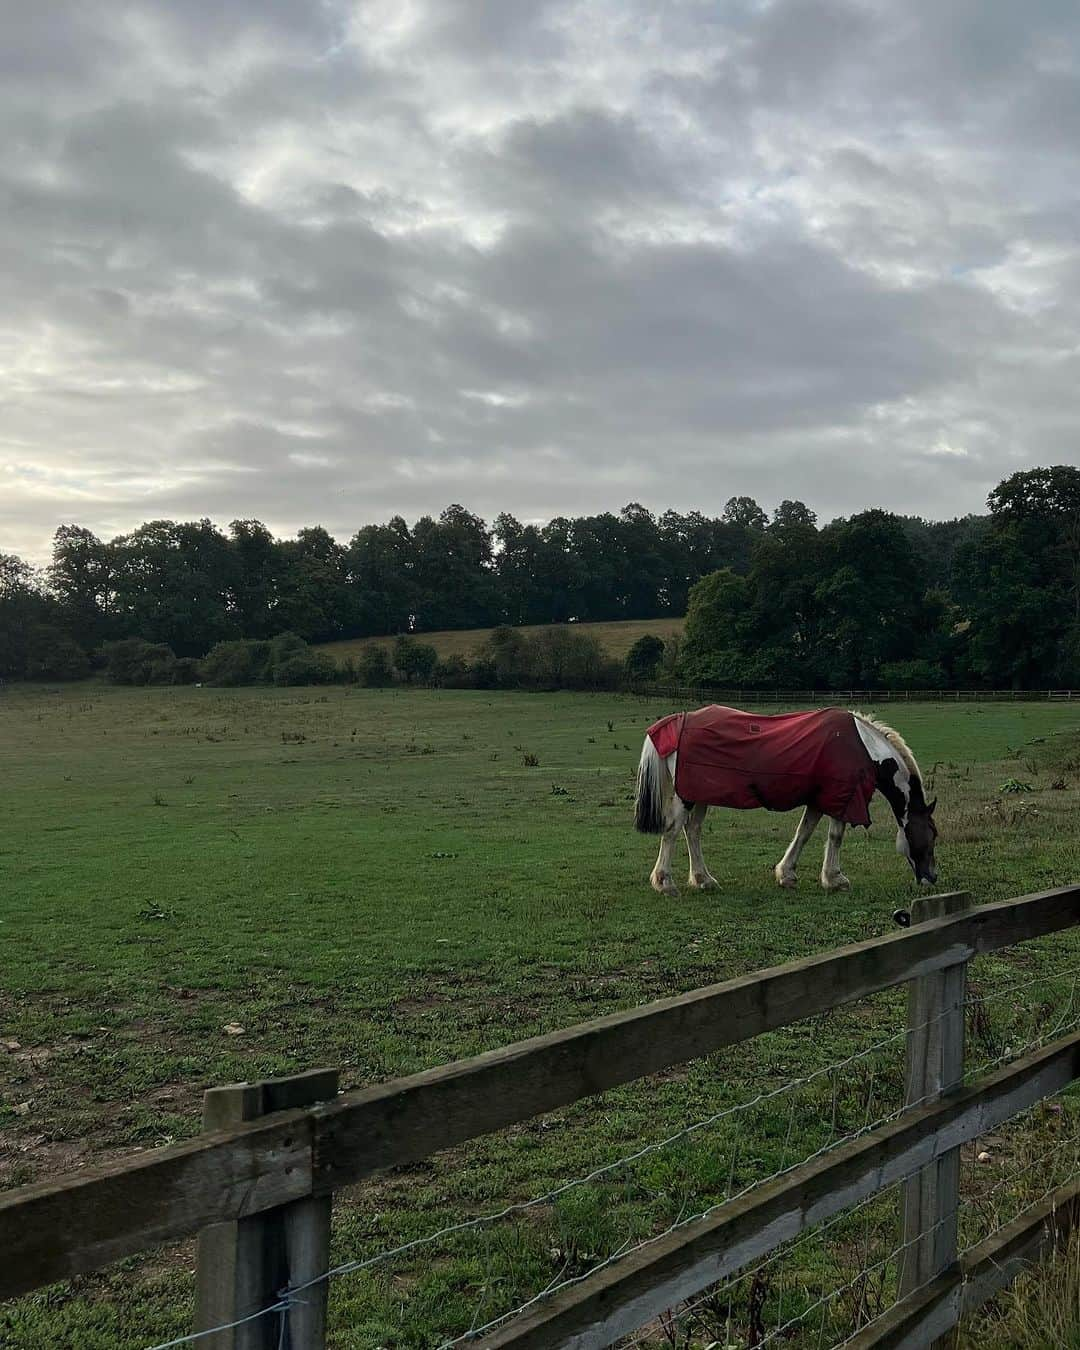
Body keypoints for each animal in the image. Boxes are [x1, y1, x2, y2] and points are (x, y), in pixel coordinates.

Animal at [631, 707, 934, 896]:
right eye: (932, 835)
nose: (932, 878)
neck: (865, 748)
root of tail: (679, 721)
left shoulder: (818, 800)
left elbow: (804, 833)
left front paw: (786, 874)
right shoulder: (842, 799)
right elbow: (835, 836)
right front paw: (835, 879)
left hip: (700, 793)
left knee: (692, 831)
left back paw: (704, 879)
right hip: (687, 796)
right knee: (672, 831)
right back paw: (665, 883)